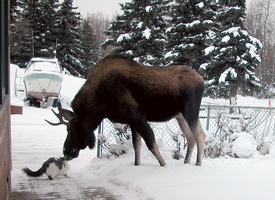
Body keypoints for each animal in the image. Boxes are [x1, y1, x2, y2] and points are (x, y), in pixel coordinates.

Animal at [47, 54, 207, 166]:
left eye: (69, 129)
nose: (66, 151)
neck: (100, 106)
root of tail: (202, 79)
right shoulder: (132, 121)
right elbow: (137, 147)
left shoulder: (137, 117)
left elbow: (151, 145)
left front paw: (164, 166)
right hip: (180, 115)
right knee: (191, 137)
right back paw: (186, 162)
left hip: (190, 111)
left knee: (200, 135)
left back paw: (198, 163)